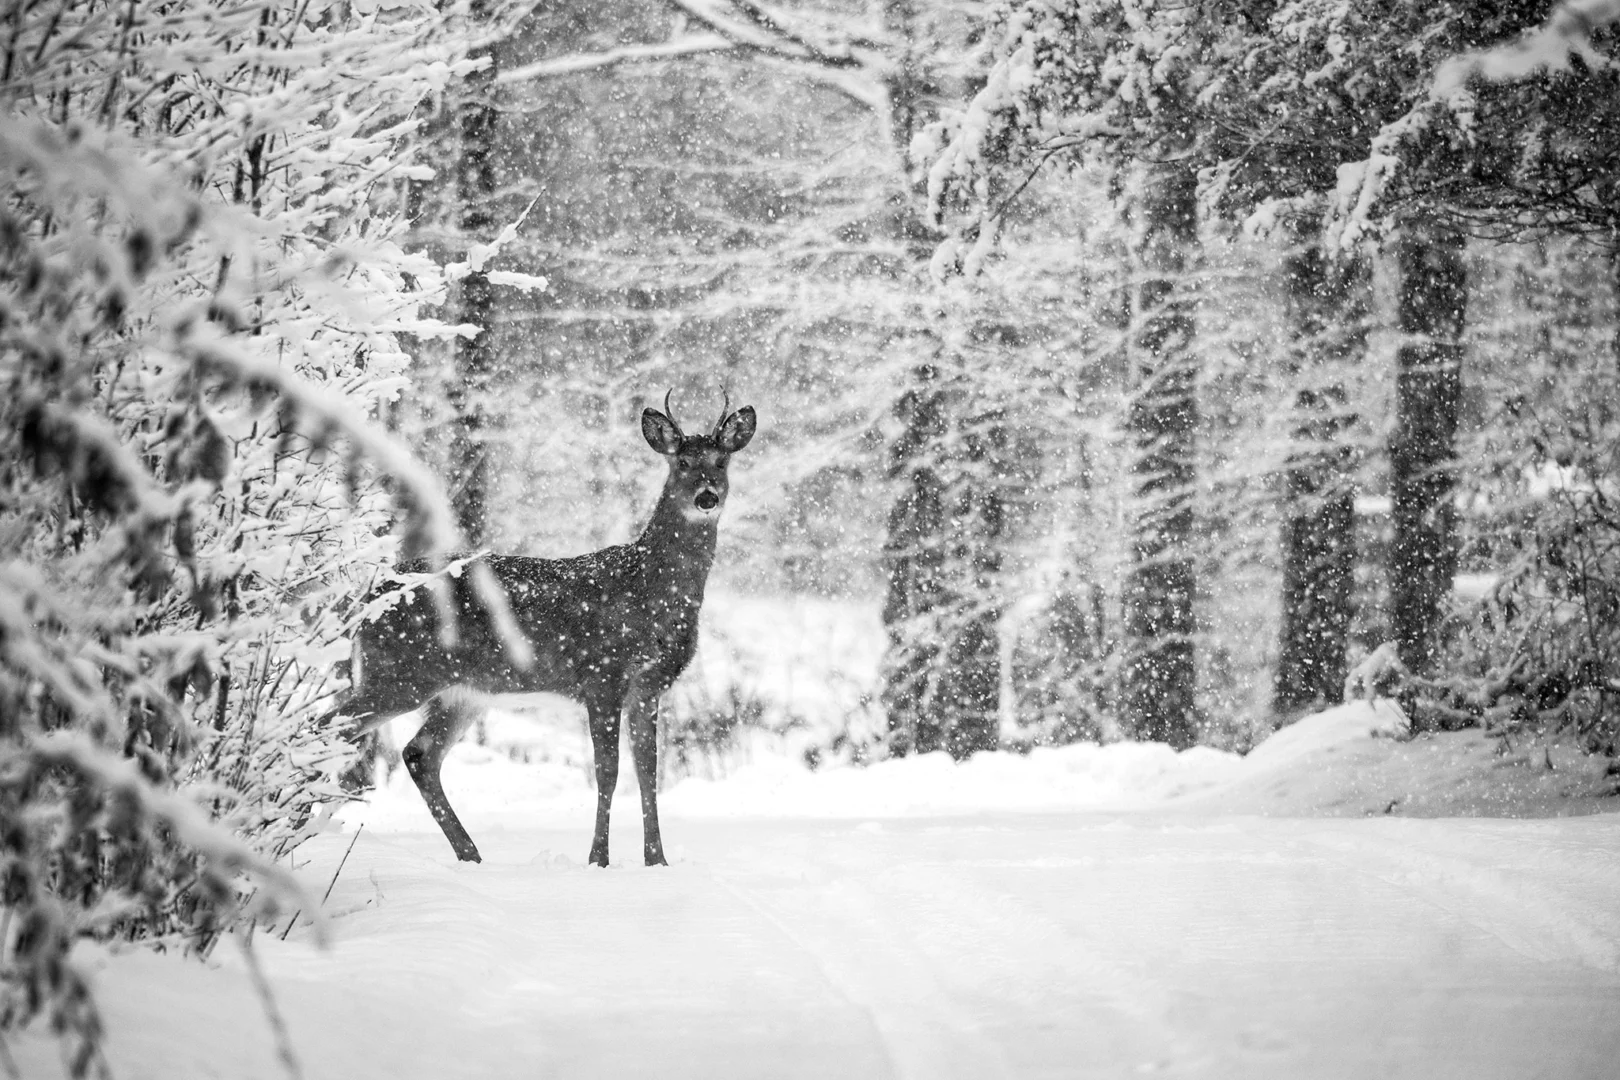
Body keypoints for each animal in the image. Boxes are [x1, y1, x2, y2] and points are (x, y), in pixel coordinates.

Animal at [335, 391, 756, 866]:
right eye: (681, 462)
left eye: (721, 461)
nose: (707, 496)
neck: (648, 589)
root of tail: (365, 598)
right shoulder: (602, 674)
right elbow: (608, 771)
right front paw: (598, 859)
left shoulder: (648, 687)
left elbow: (648, 771)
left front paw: (657, 861)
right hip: (400, 673)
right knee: (333, 727)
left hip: (463, 691)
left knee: (418, 754)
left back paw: (471, 854)